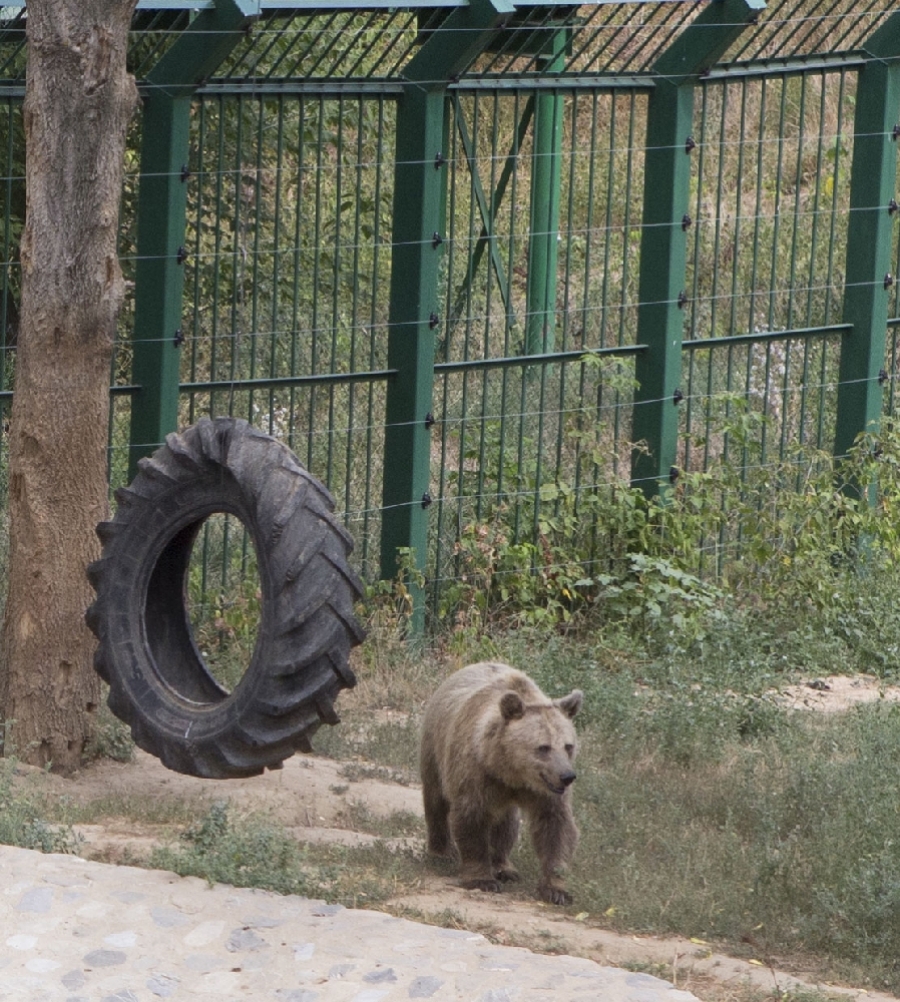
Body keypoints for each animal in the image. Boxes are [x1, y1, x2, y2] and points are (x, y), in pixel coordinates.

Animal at [420, 661, 581, 905]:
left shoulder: (544, 793)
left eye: (568, 746)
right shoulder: (476, 773)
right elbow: (472, 818)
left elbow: (556, 827)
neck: (511, 771)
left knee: (507, 823)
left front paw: (556, 889)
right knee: (435, 800)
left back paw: (504, 867)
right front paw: (482, 879)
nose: (567, 776)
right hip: (435, 749)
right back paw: (441, 852)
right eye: (543, 747)